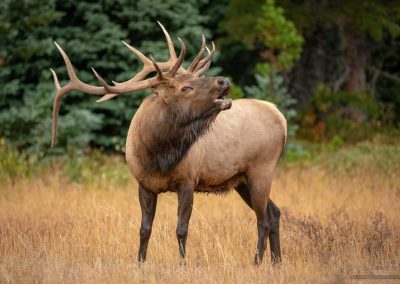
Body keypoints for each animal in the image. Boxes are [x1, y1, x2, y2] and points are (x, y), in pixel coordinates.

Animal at [50, 22, 288, 264]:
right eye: (186, 87)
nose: (223, 80)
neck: (158, 157)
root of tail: (280, 116)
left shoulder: (188, 180)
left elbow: (181, 229)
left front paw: (182, 264)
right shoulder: (144, 184)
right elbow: (144, 229)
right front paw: (140, 262)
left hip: (261, 168)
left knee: (263, 220)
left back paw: (256, 262)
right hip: (242, 179)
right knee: (274, 212)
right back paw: (276, 262)